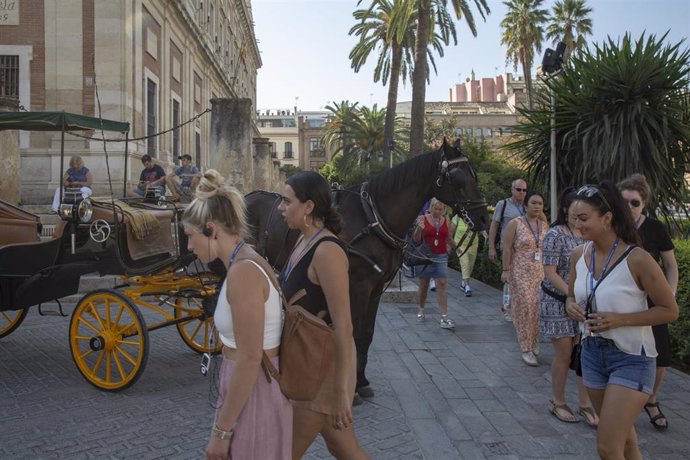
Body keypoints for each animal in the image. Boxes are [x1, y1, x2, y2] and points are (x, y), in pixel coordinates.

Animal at [245, 139, 486, 396]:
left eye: (474, 174)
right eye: (458, 177)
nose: (483, 217)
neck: (372, 218)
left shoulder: (376, 288)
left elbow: (367, 333)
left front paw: (361, 380)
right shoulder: (359, 285)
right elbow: (356, 331)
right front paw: (352, 388)